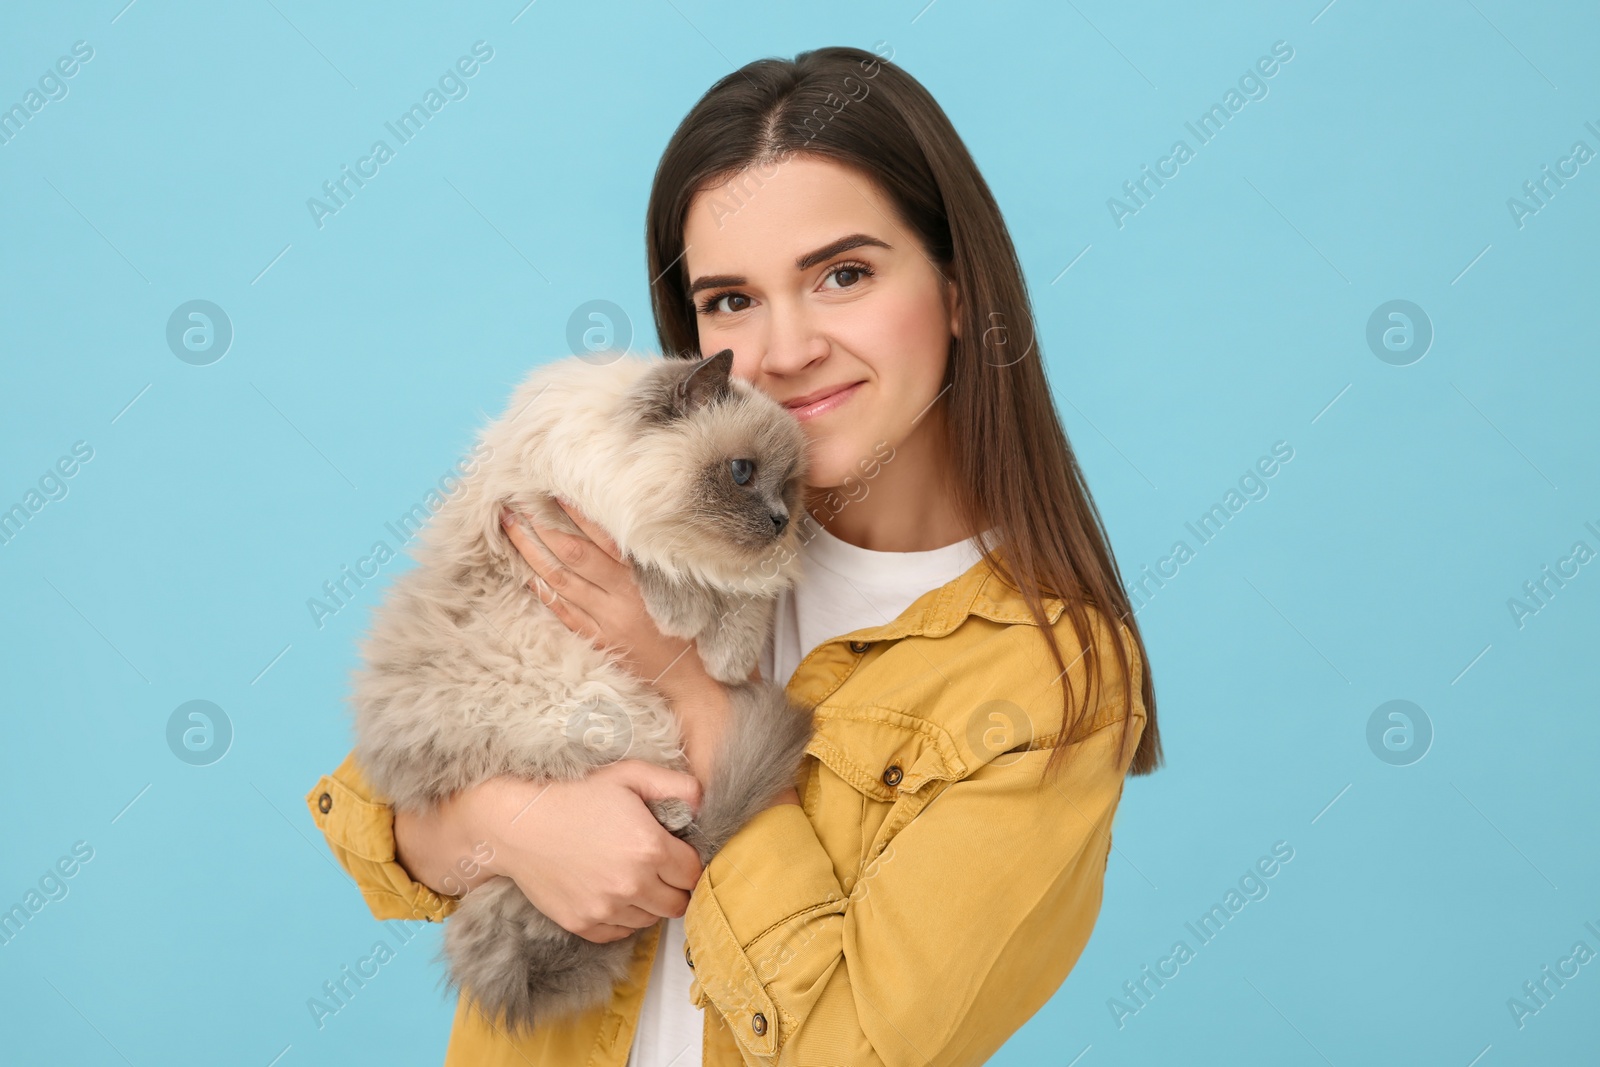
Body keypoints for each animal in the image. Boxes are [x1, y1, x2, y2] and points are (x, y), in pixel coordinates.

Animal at [345, 348, 819, 1036]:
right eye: (741, 472)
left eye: (791, 487)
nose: (783, 522)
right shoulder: (548, 510)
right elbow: (651, 564)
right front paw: (681, 614)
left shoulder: (735, 575)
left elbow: (743, 599)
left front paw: (726, 657)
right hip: (583, 709)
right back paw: (672, 812)